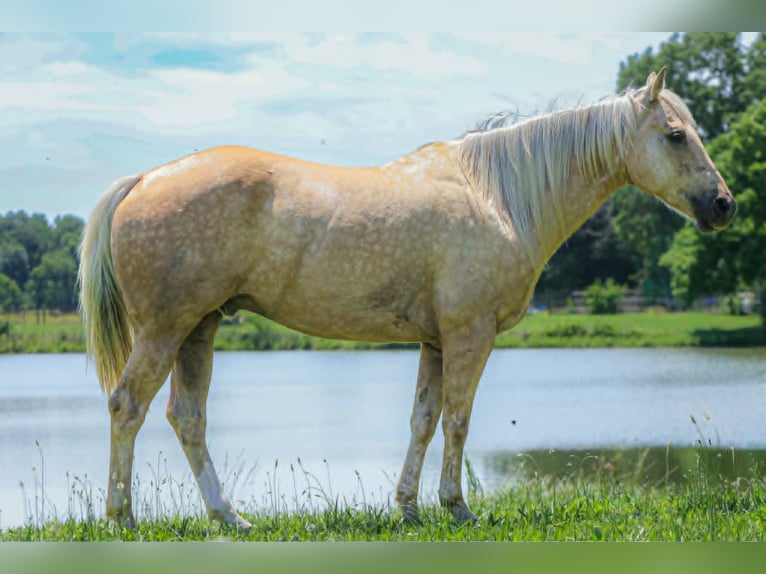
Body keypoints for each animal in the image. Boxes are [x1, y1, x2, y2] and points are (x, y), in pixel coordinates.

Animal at [78, 68, 735, 528]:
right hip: (164, 330)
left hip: (200, 328)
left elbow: (423, 419)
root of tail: (145, 179)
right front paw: (457, 507)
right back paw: (122, 518)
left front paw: (409, 507)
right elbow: (458, 420)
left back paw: (229, 517)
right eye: (676, 135)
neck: (498, 197)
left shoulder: (435, 342)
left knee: (186, 418)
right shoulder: (470, 335)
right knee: (127, 407)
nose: (723, 204)